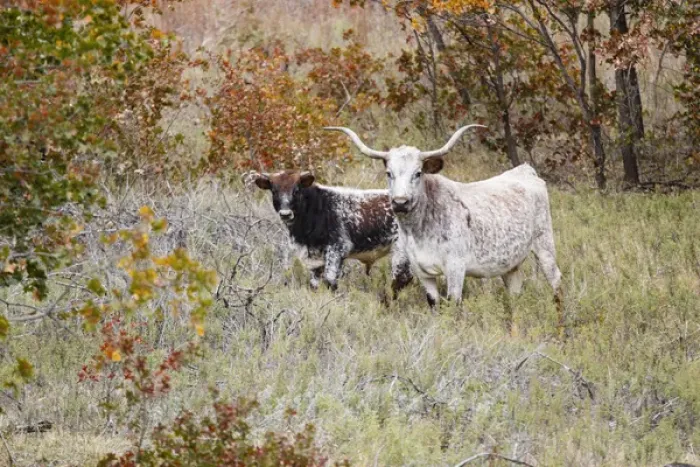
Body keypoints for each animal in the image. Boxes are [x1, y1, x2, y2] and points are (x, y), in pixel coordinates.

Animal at [251, 170, 413, 295]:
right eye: (274, 191)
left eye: (296, 190)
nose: (285, 214)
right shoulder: (315, 256)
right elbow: (315, 284)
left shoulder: (337, 248)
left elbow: (330, 281)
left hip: (401, 251)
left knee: (400, 280)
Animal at [326, 125, 563, 326]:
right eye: (389, 173)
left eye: (418, 173)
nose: (400, 202)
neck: (420, 228)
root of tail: (525, 170)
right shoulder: (422, 271)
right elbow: (434, 304)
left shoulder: (456, 268)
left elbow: (453, 304)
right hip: (510, 264)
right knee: (515, 296)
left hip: (545, 246)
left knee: (556, 284)